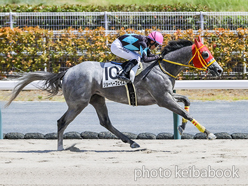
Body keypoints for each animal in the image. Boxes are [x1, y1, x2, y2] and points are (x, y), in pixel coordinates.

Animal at [5, 37, 223, 150]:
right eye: (205, 54)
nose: (219, 70)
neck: (161, 67)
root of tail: (67, 72)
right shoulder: (163, 99)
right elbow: (183, 111)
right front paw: (209, 134)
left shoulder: (166, 95)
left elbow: (186, 102)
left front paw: (181, 128)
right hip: (78, 103)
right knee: (62, 121)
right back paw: (59, 147)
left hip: (97, 99)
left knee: (105, 122)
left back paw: (132, 142)